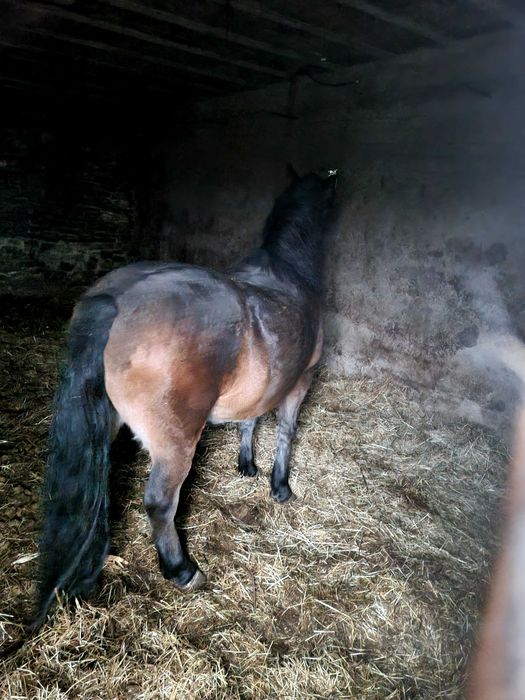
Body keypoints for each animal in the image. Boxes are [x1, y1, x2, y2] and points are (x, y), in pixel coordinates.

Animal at [35, 169, 337, 627]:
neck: (289, 274)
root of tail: (114, 301)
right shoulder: (300, 381)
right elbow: (286, 432)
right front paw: (280, 486)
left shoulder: (261, 389)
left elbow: (249, 420)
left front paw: (247, 466)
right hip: (175, 444)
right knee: (161, 503)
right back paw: (181, 569)